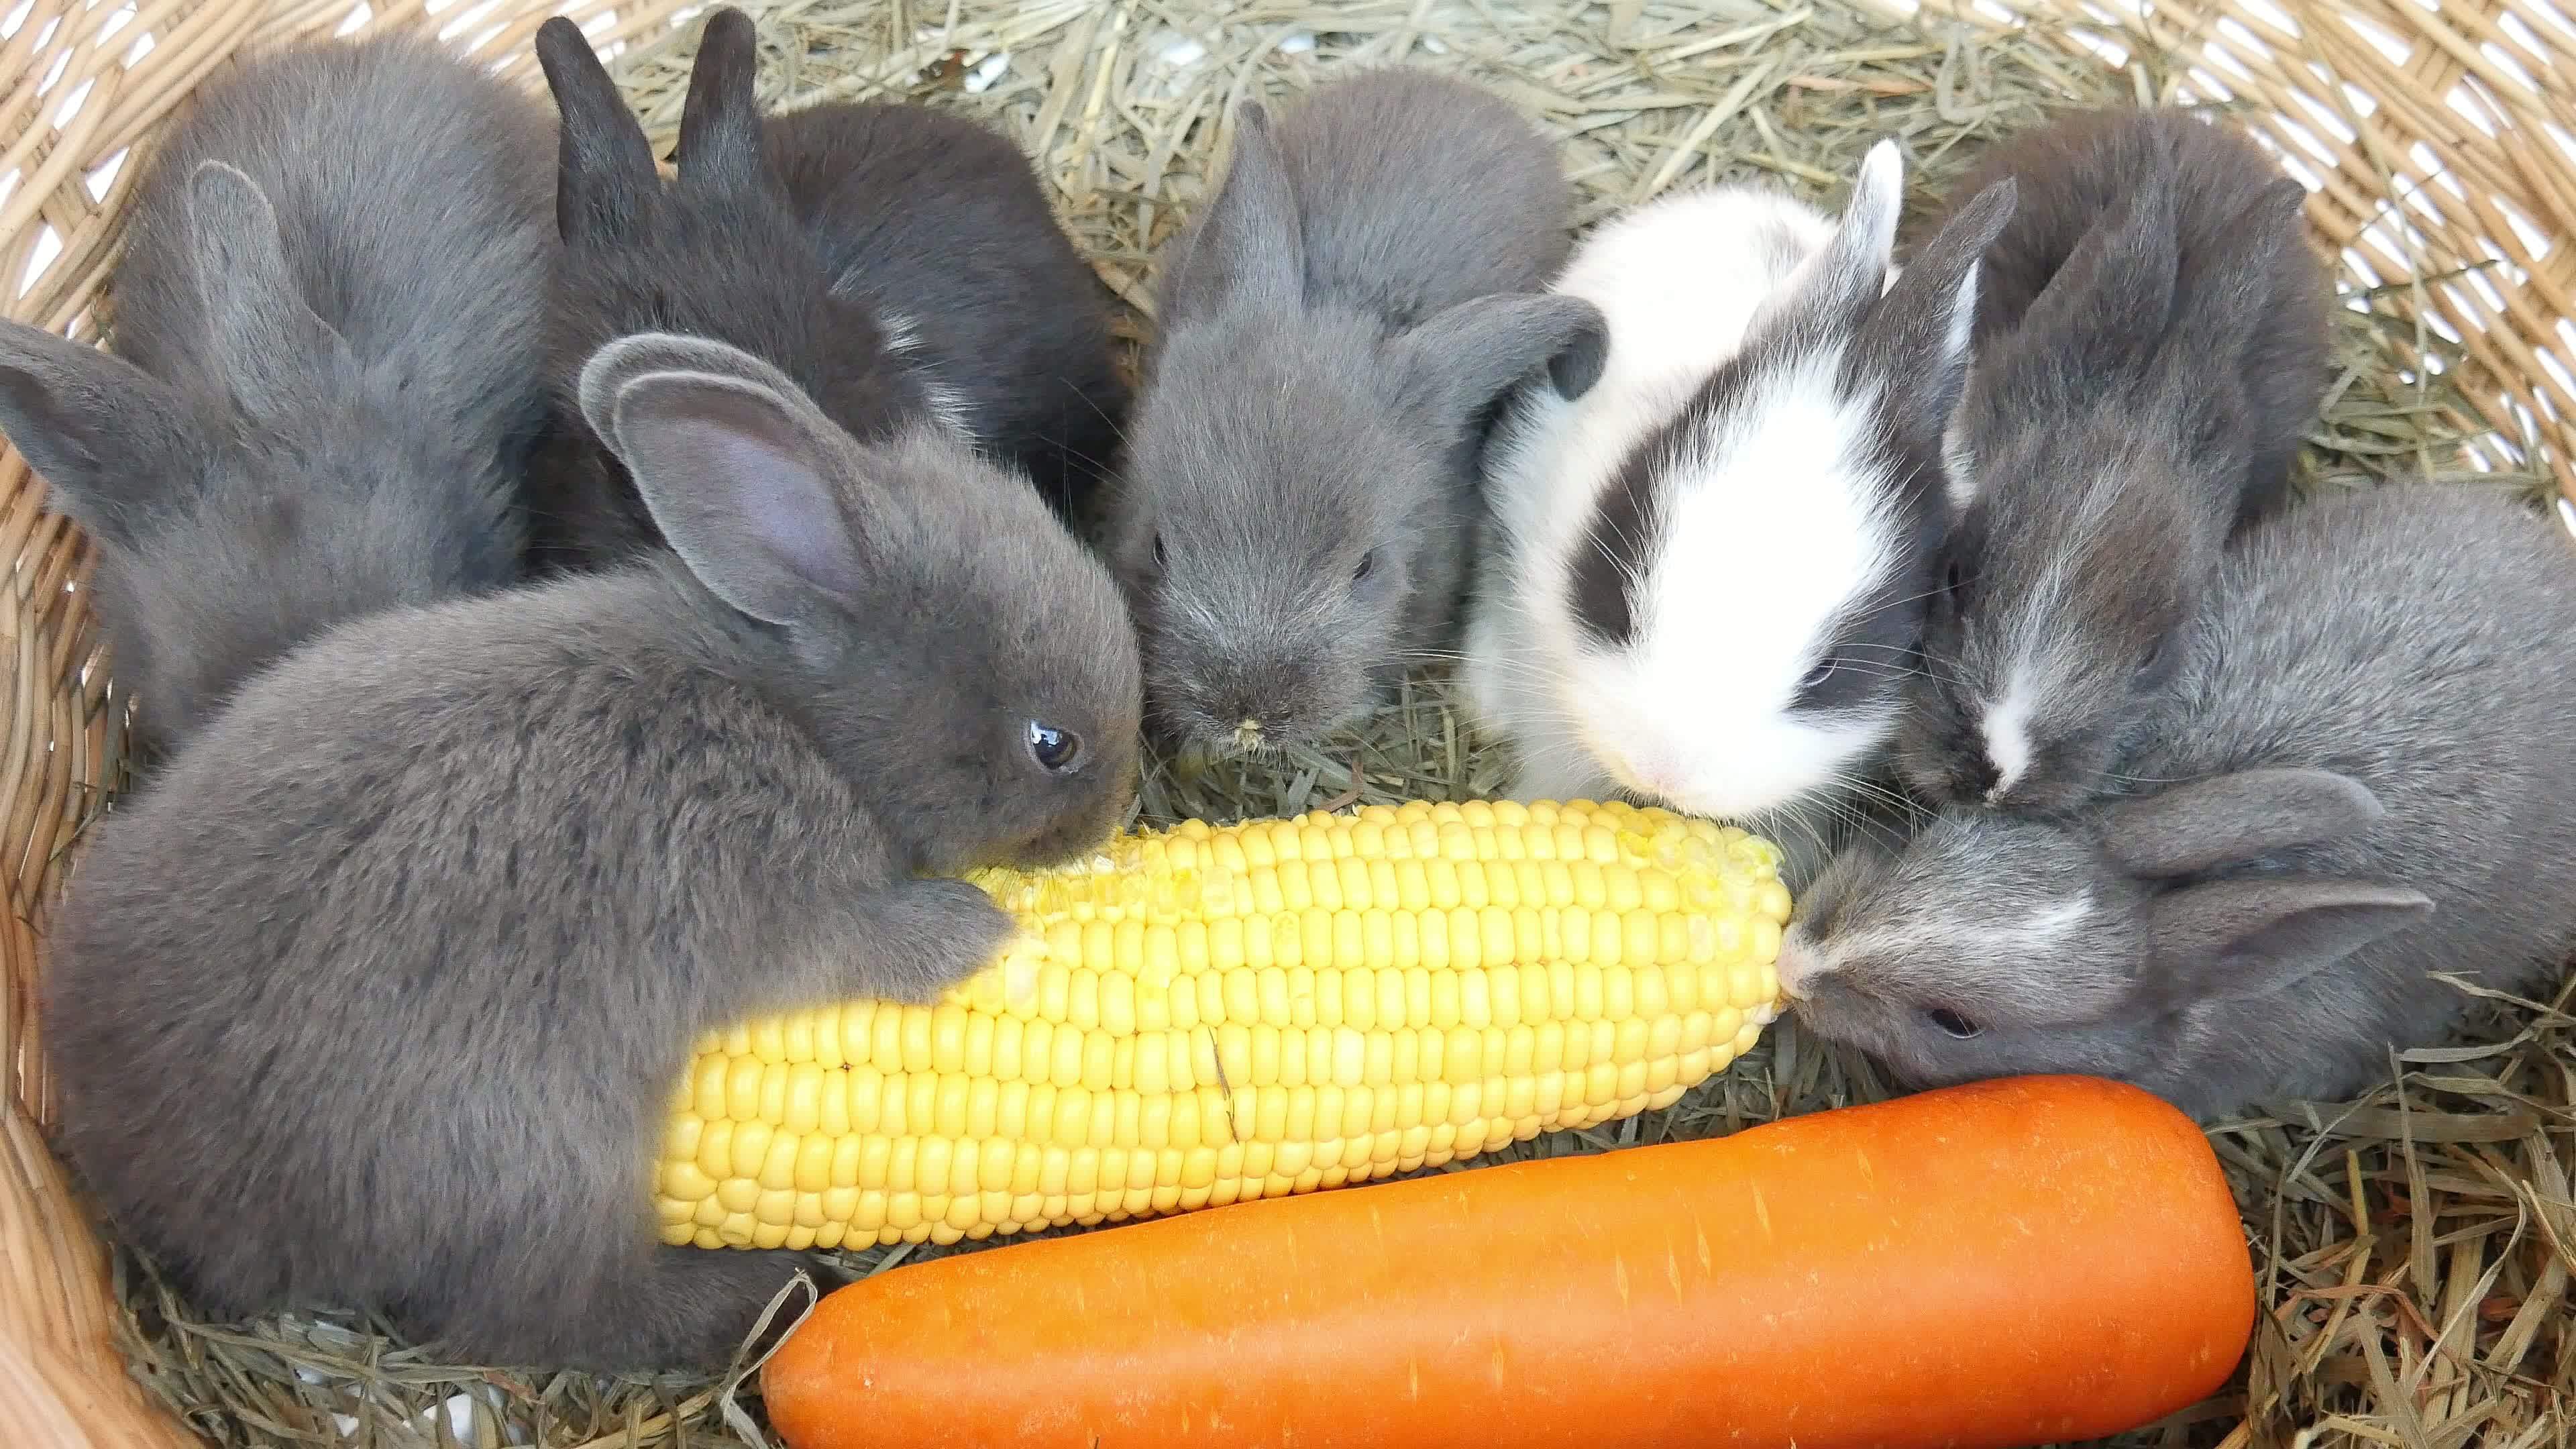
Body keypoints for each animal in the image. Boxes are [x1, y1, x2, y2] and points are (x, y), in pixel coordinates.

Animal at [41, 332, 1143, 1373]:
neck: (802, 715)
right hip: (539, 1166)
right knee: (556, 1311)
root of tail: (137, 1172)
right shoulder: (779, 892)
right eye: (1053, 744)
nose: (1110, 819)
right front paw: (973, 930)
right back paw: (766, 1290)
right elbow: (862, 937)